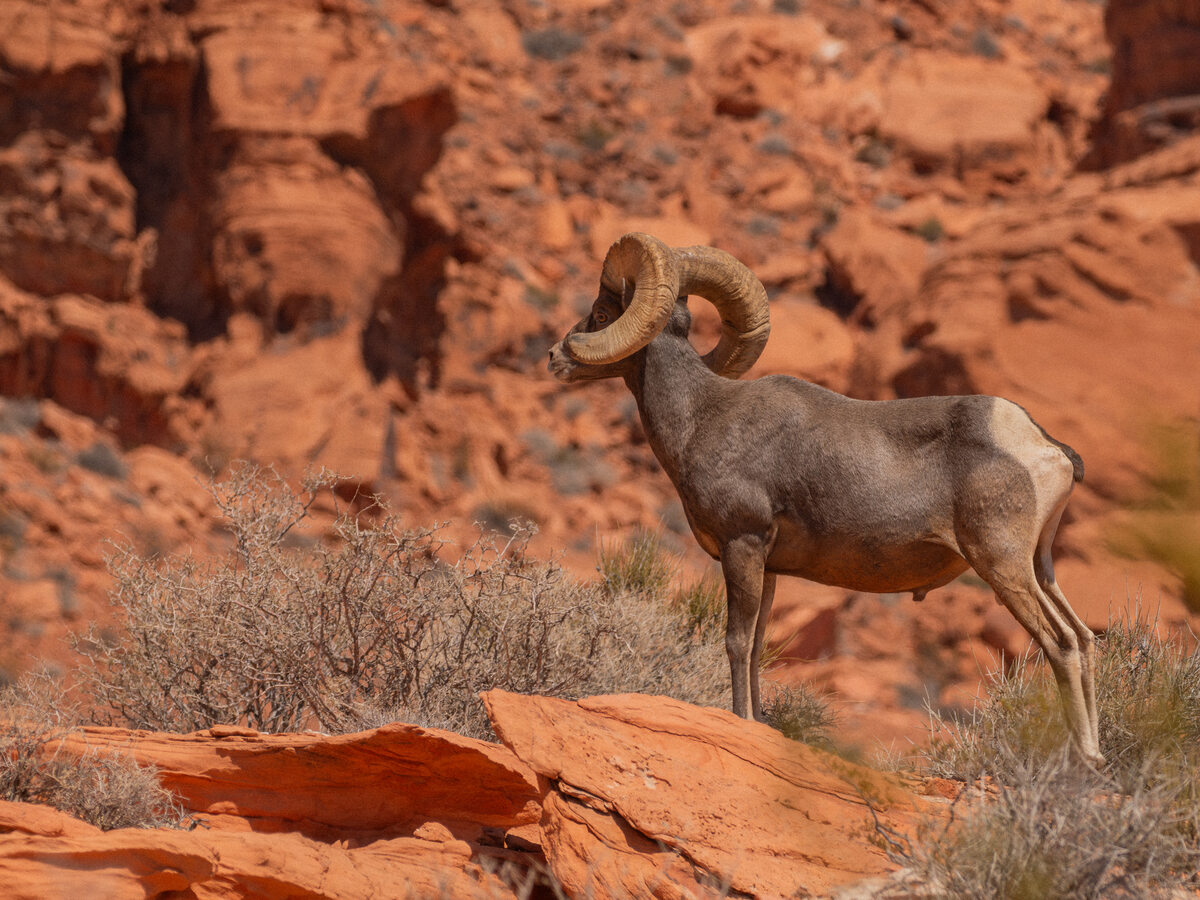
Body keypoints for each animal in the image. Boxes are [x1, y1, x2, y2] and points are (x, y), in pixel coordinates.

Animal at [547, 232, 1103, 766]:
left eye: (602, 314)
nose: (554, 356)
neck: (701, 419)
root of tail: (1044, 448)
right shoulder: (768, 566)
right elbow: (757, 646)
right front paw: (759, 721)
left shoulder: (742, 546)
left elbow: (736, 641)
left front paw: (741, 720)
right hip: (1039, 567)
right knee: (1084, 638)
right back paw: (1096, 752)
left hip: (1001, 564)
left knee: (1060, 643)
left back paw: (1082, 758)